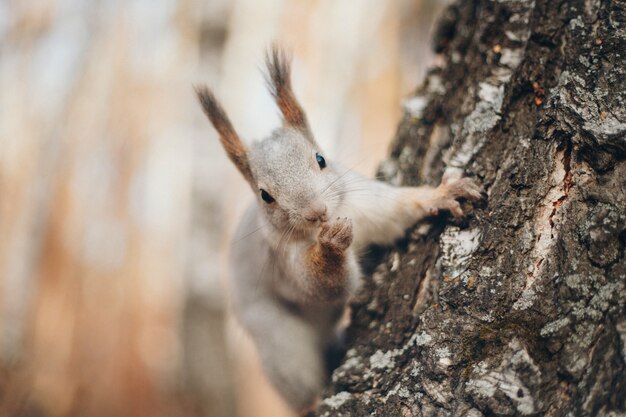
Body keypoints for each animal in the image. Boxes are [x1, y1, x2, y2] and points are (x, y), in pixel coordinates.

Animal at [195, 47, 478, 412]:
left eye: (321, 159)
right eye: (265, 195)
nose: (317, 213)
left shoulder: (366, 206)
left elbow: (397, 212)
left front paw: (442, 194)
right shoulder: (284, 260)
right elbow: (322, 285)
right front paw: (330, 248)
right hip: (281, 342)